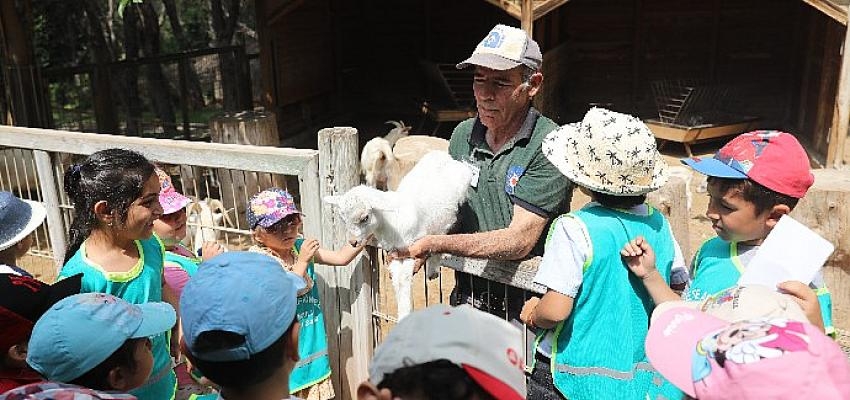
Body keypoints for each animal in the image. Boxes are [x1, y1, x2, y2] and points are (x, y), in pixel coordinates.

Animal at [322, 150, 470, 318]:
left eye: (365, 218)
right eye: (342, 218)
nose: (353, 242)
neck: (389, 224)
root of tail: (443, 156)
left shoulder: (410, 249)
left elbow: (403, 280)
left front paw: (405, 314)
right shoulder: (393, 252)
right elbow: (396, 281)